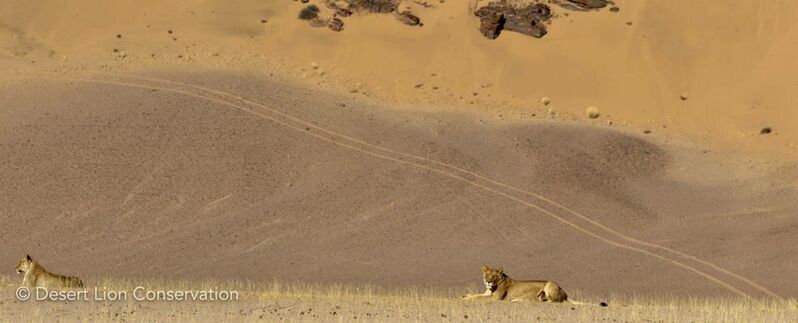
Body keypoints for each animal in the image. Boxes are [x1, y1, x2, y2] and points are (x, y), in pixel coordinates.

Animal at [460, 264, 608, 308]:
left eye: (494, 276)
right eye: (486, 275)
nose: (488, 281)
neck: (491, 288)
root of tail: (564, 292)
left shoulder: (495, 298)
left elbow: (476, 298)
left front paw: (464, 299)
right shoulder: (486, 293)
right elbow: (474, 294)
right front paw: (464, 295)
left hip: (549, 284)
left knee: (555, 302)